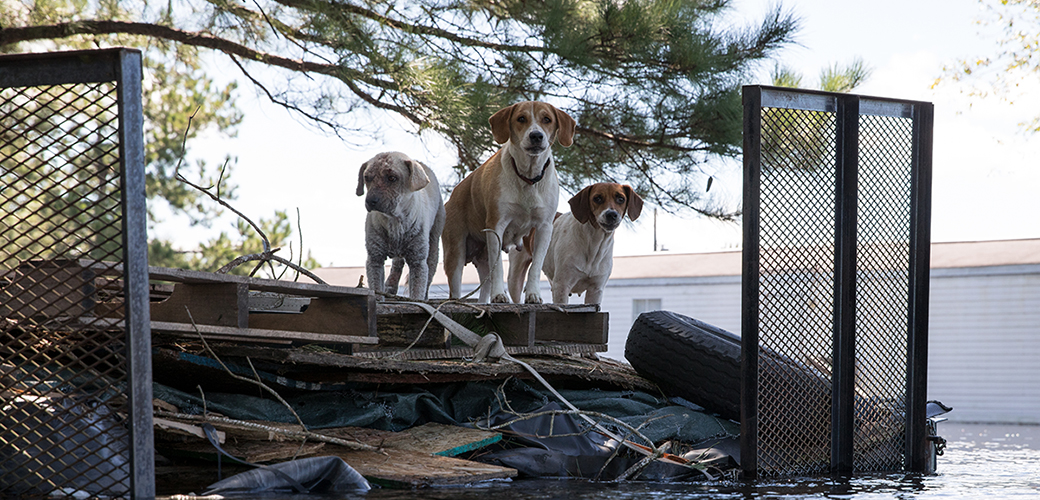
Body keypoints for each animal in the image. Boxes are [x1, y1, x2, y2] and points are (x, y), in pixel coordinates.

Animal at [357, 151, 447, 297]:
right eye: (366, 178)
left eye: (392, 178)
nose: (370, 201)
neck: (395, 222)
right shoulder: (375, 259)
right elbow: (377, 289)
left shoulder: (418, 261)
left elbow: (417, 293)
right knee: (397, 264)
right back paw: (390, 285)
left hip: (434, 241)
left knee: (430, 270)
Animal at [443, 101, 578, 301]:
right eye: (521, 118)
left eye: (547, 119)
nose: (536, 135)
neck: (528, 178)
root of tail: (452, 196)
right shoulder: (496, 226)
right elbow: (499, 267)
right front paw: (499, 294)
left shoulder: (544, 227)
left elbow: (536, 266)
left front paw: (533, 294)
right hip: (455, 252)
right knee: (456, 286)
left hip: (483, 257)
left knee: (485, 284)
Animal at [505, 180, 636, 301]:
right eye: (597, 198)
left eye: (621, 199)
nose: (611, 214)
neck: (594, 244)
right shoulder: (562, 286)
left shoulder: (596, 290)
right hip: (515, 278)